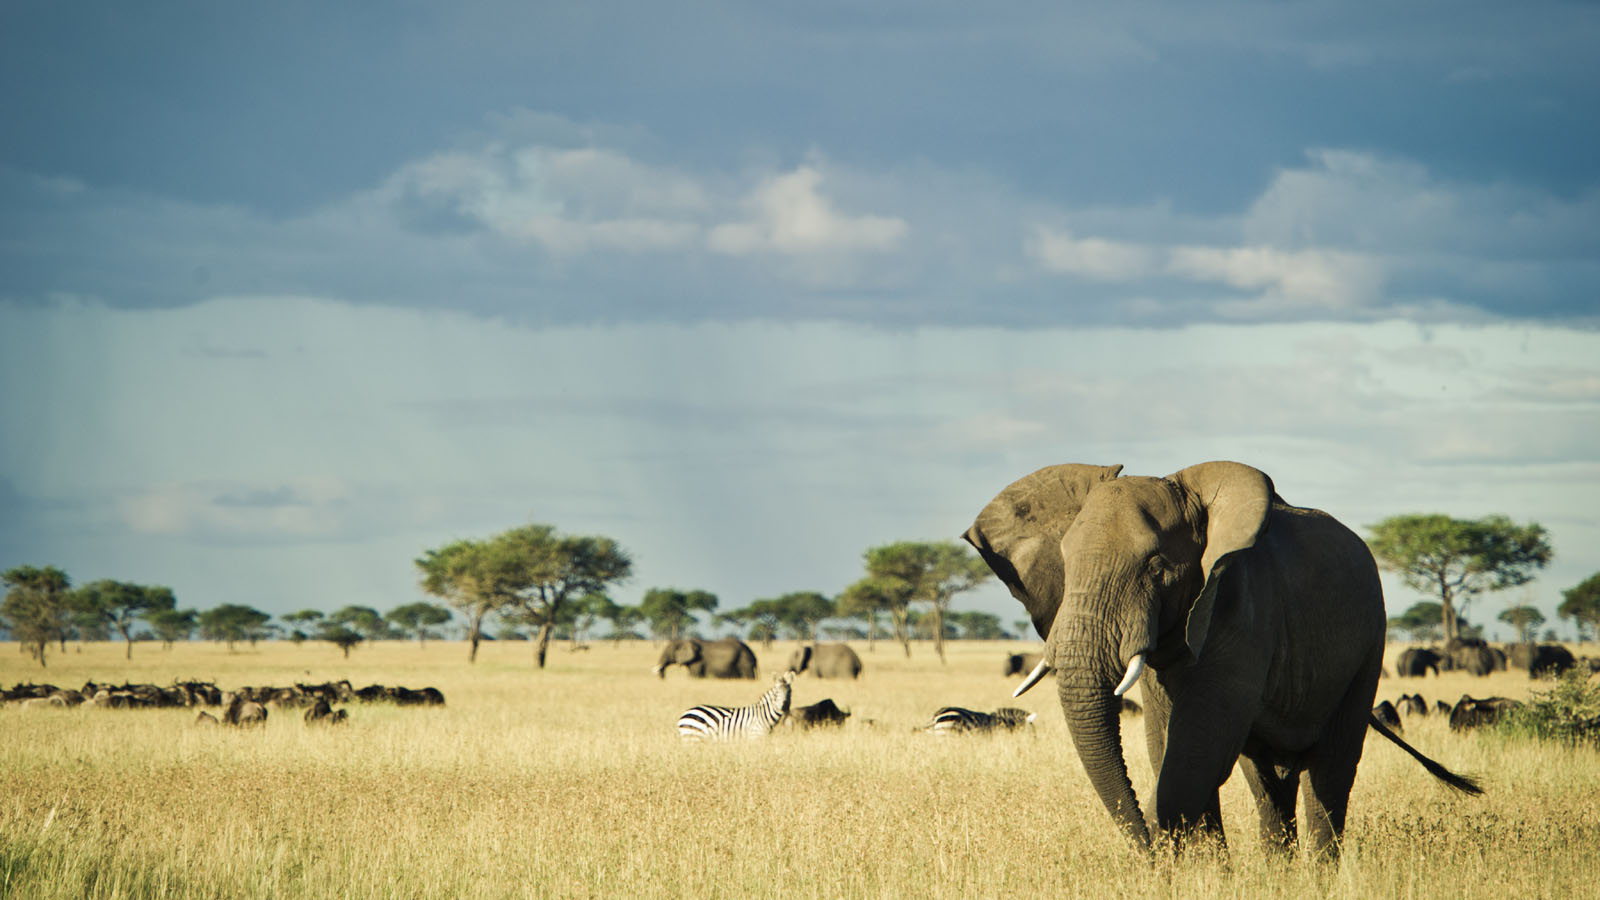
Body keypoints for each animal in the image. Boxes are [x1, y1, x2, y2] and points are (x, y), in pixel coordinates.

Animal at [953, 458, 1478, 858]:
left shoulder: (1242, 608)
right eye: (1067, 563)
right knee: (1266, 779)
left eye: (1156, 567)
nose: (1149, 855)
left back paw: (1319, 873)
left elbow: (1195, 751)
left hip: (1370, 646)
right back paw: (1277, 871)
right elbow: (1169, 745)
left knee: (1331, 770)